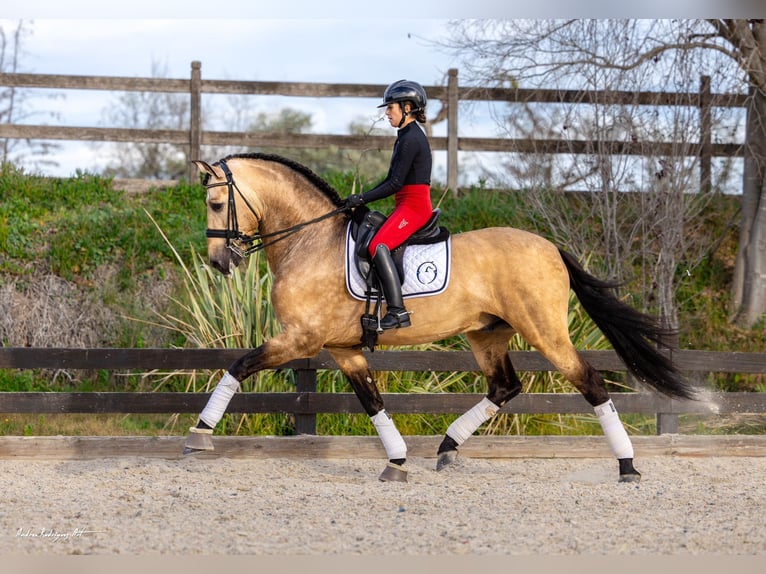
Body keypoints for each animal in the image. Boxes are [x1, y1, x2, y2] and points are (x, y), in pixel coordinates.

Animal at [183, 151, 700, 484]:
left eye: (215, 204)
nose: (219, 263)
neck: (309, 241)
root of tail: (550, 247)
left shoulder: (301, 339)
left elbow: (238, 366)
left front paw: (198, 436)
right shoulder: (342, 349)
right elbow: (372, 403)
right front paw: (396, 462)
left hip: (545, 331)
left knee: (589, 382)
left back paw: (628, 467)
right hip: (487, 335)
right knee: (504, 387)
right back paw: (448, 447)